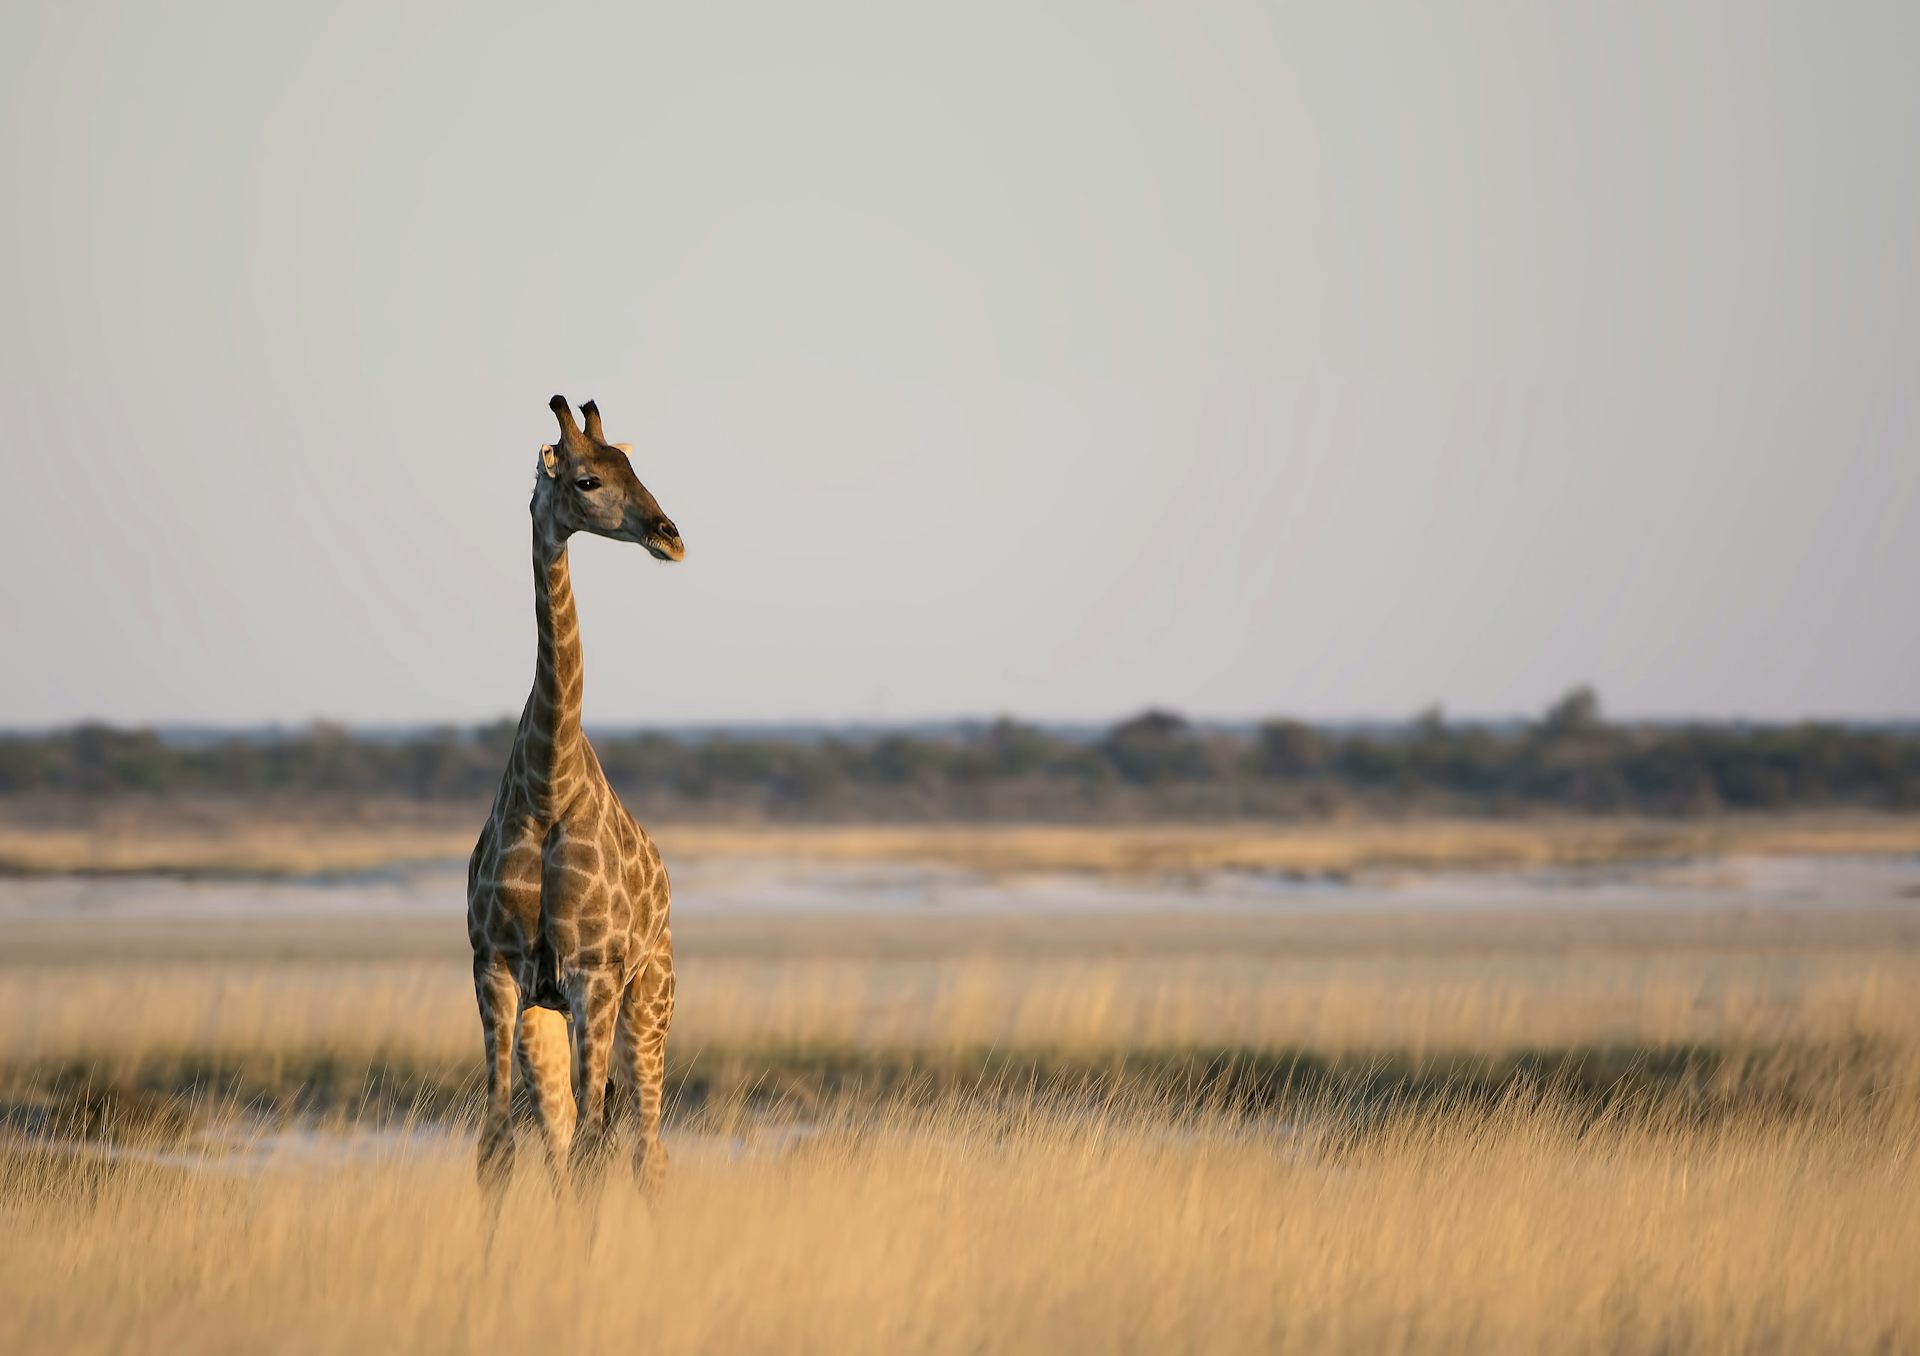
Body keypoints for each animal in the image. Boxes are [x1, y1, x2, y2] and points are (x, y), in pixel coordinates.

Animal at [468, 391, 687, 1190]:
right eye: (587, 480)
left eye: (634, 466)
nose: (669, 535)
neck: (546, 789)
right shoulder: (497, 971)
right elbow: (498, 1146)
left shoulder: (593, 975)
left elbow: (598, 1151)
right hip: (551, 1016)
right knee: (565, 1138)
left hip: (647, 1003)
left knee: (645, 1149)